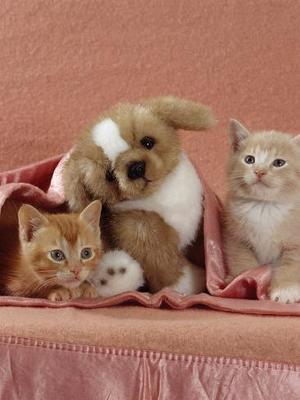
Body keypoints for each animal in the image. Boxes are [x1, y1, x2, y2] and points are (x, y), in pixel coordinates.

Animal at [224, 119, 300, 304]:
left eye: (279, 163)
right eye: (249, 159)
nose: (259, 171)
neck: (264, 206)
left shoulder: (296, 243)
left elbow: (291, 265)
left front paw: (286, 290)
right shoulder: (236, 237)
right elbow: (241, 260)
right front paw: (240, 282)